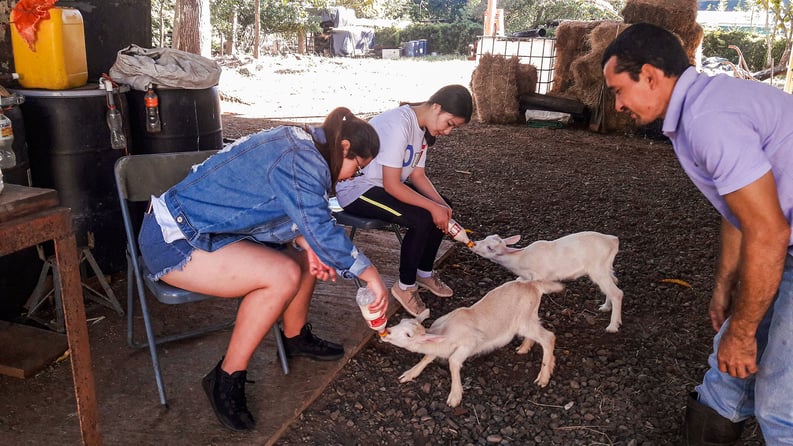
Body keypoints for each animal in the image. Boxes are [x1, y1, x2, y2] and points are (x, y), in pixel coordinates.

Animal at [380, 280, 560, 410]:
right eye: (401, 321)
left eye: (408, 335)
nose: (387, 331)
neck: (443, 334)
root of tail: (533, 285)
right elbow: (428, 357)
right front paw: (409, 374)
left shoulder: (470, 343)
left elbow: (453, 362)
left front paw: (455, 396)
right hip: (527, 318)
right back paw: (524, 349)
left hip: (524, 320)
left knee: (548, 337)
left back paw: (544, 376)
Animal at [474, 232, 620, 332]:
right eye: (486, 238)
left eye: (490, 247)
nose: (474, 244)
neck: (520, 260)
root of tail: (613, 240)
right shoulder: (525, 278)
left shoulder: (538, 277)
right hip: (606, 267)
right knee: (614, 282)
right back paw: (606, 307)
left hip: (597, 268)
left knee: (617, 293)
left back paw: (612, 326)